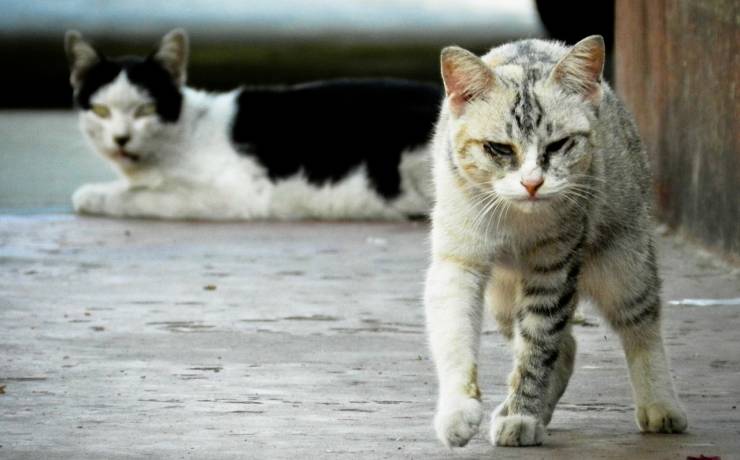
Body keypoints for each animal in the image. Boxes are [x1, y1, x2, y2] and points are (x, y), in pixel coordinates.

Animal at [63, 29, 440, 220]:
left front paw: (96, 194)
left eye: (145, 109)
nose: (121, 138)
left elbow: (138, 197)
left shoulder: (232, 195)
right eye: (100, 110)